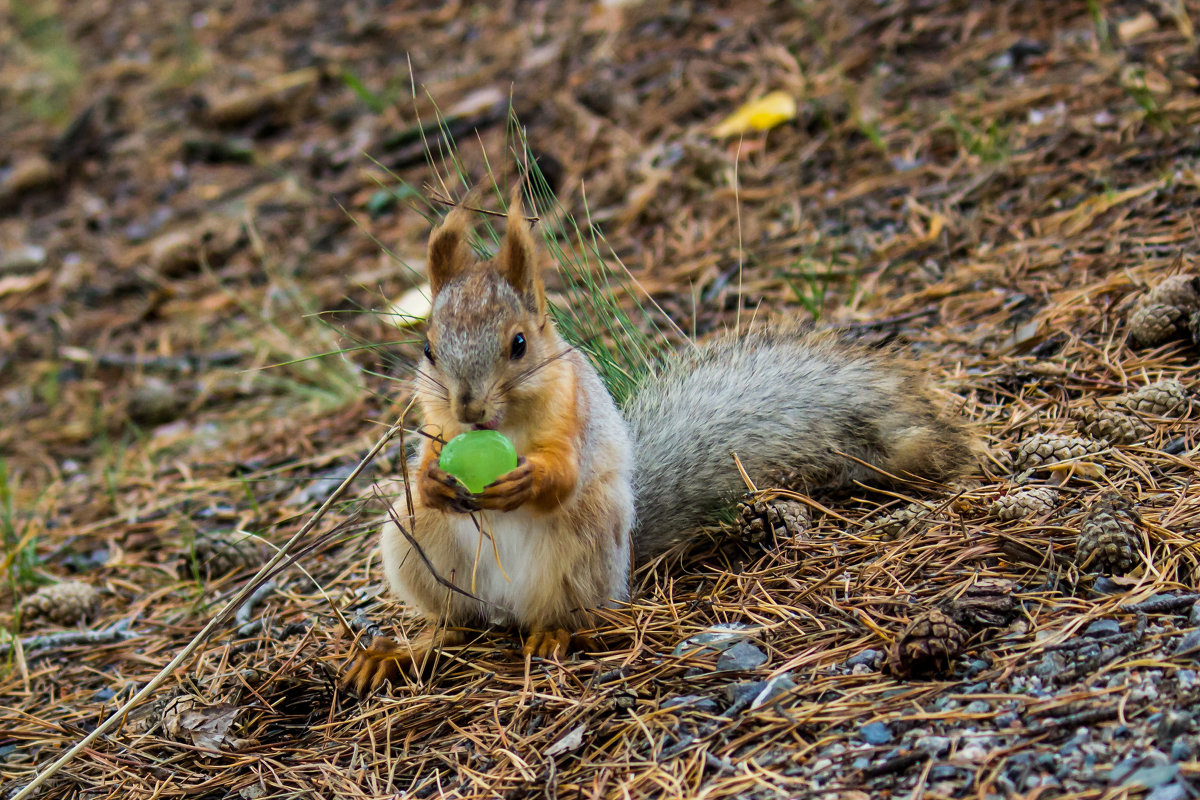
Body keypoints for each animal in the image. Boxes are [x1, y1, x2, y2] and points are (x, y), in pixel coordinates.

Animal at [340, 190, 974, 690]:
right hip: (415, 544)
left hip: (581, 548)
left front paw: (526, 480)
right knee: (455, 622)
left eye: (518, 344)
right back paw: (400, 651)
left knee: (566, 614)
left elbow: (563, 473)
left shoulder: (573, 413)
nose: (469, 408)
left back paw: (551, 636)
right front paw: (432, 478)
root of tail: (508, 609)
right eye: (428, 349)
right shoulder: (434, 420)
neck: (501, 424)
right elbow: (426, 455)